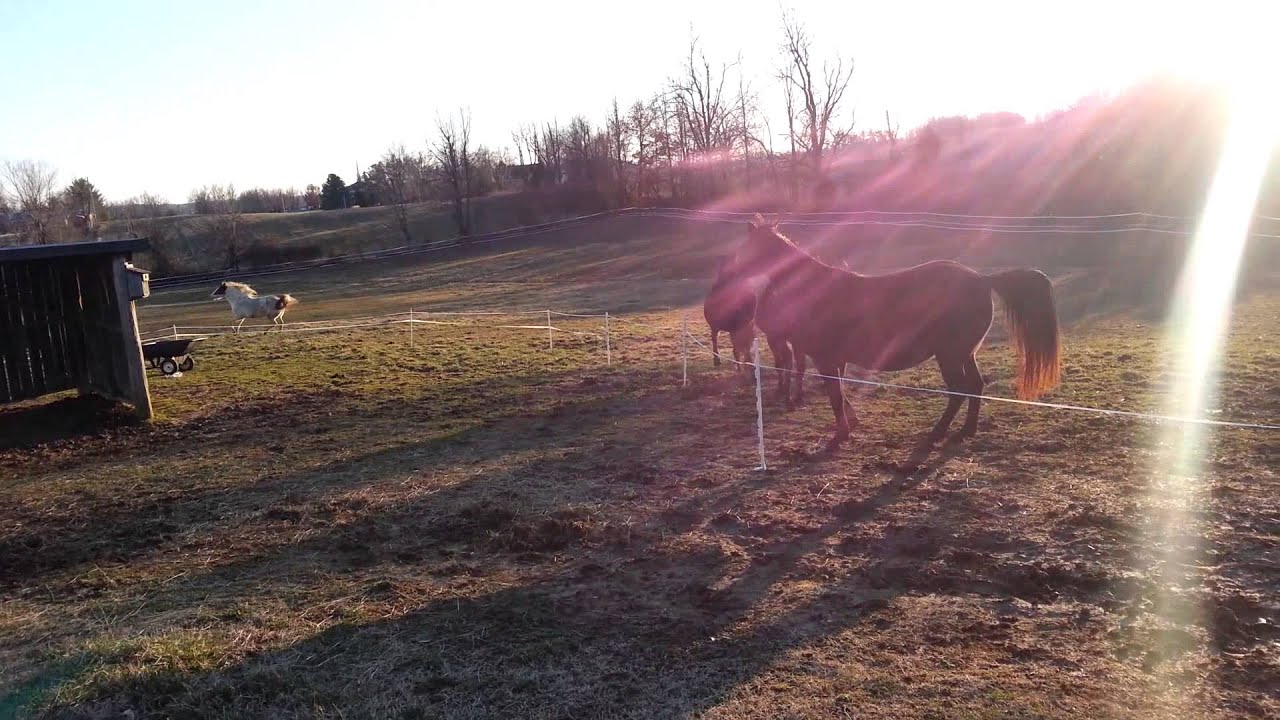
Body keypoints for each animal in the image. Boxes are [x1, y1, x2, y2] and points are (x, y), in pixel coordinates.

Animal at [729, 214, 1060, 451]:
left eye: (745, 250)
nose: (731, 281)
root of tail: (981, 279)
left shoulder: (826, 360)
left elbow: (835, 397)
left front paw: (840, 436)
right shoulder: (836, 360)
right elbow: (841, 395)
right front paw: (851, 423)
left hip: (950, 356)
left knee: (958, 390)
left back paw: (936, 433)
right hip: (965, 353)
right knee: (975, 386)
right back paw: (965, 431)